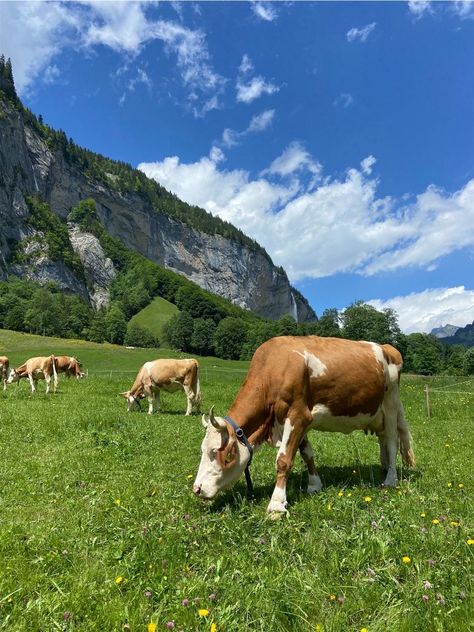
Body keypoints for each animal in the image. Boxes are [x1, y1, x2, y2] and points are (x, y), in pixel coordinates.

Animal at [193, 336, 414, 512]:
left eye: (220, 453)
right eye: (202, 450)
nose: (197, 489)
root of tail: (387, 347)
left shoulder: (298, 415)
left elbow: (283, 460)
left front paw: (276, 504)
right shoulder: (299, 420)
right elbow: (307, 453)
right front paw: (314, 485)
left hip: (391, 404)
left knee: (392, 442)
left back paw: (390, 479)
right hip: (378, 414)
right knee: (383, 440)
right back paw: (384, 467)